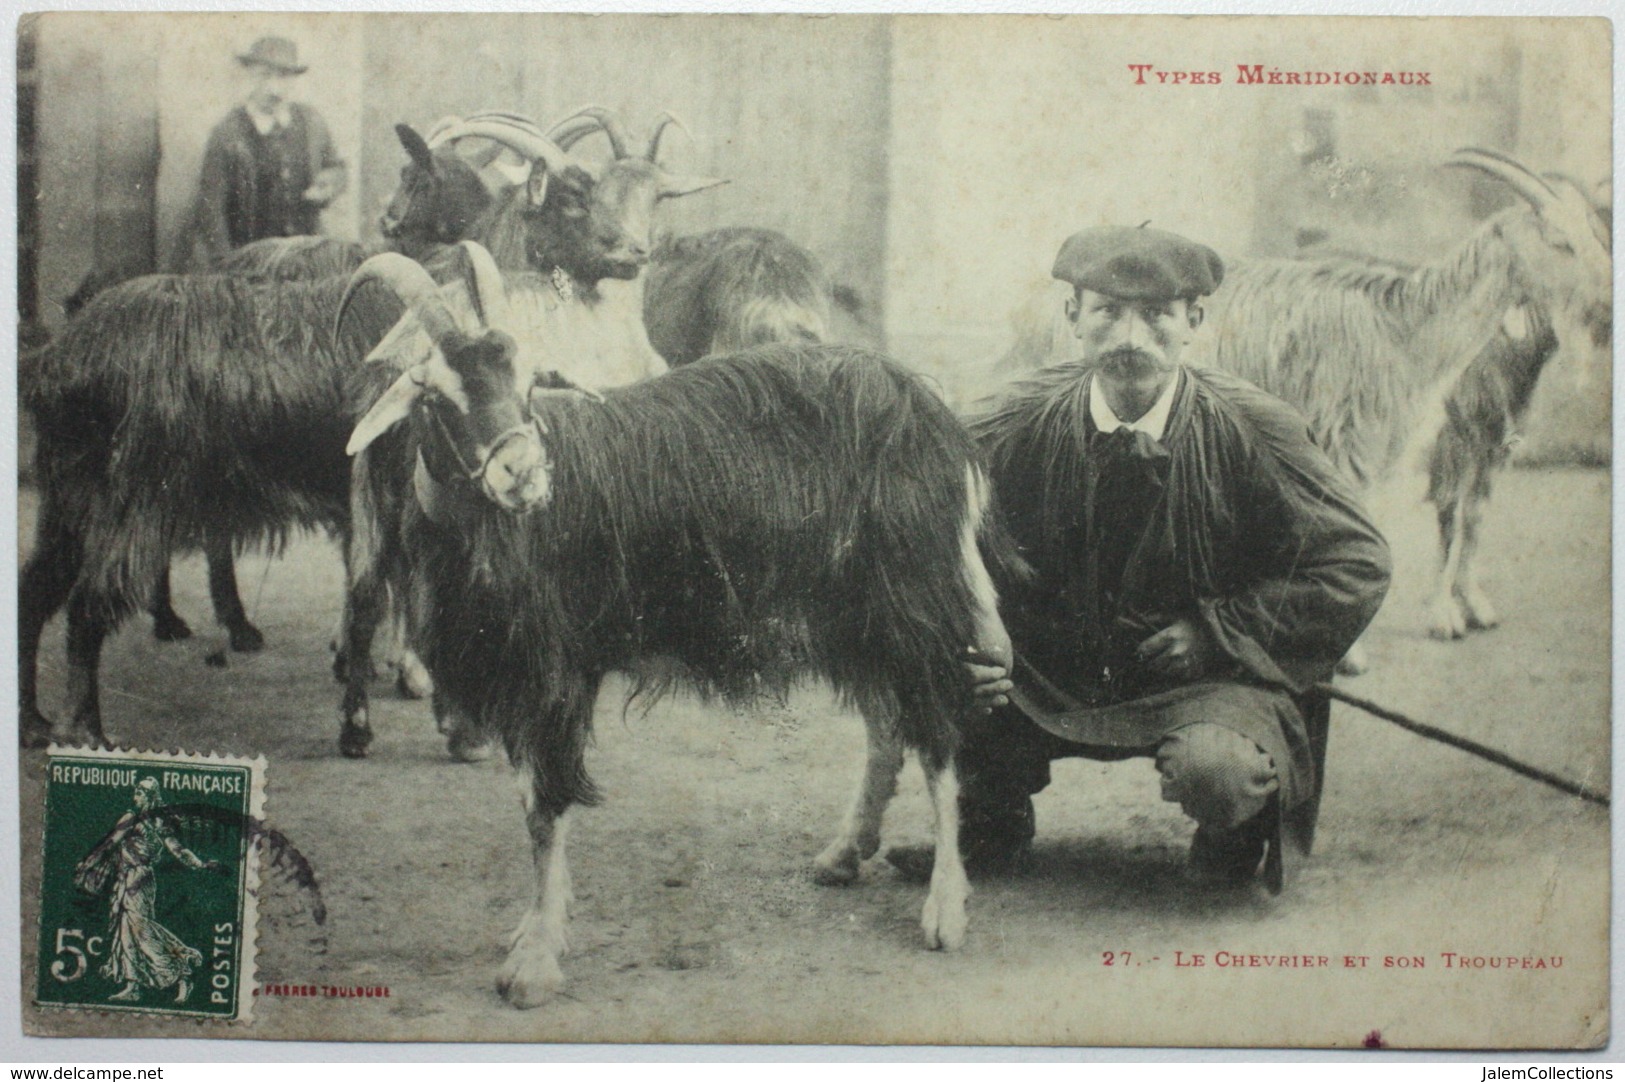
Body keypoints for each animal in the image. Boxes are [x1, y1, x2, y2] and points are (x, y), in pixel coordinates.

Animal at [338, 242, 1007, 1000]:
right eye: (433, 393)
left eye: (526, 382)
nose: (523, 473)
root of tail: (930, 409)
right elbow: (529, 801)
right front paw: (531, 935)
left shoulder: (556, 670)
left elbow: (546, 805)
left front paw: (535, 961)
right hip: (849, 612)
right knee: (887, 726)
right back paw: (842, 853)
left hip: (912, 595)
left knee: (939, 732)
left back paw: (944, 908)